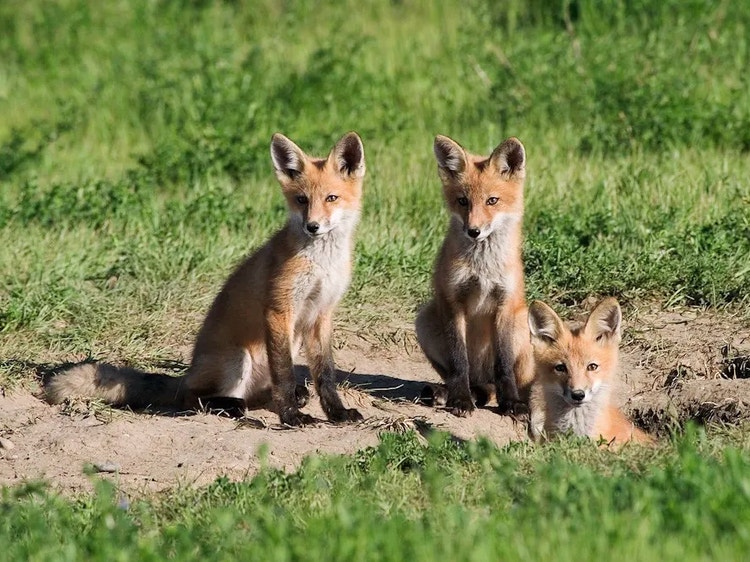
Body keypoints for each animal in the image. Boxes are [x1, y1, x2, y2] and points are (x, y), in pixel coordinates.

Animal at [44, 132, 366, 427]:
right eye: (302, 200)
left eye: (331, 198)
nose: (312, 226)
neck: (322, 265)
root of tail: (186, 376)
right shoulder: (279, 310)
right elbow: (284, 374)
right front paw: (291, 417)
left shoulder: (321, 314)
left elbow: (325, 375)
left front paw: (337, 413)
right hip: (237, 359)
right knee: (196, 398)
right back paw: (233, 407)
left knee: (258, 395)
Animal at [415, 134, 534, 416]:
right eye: (463, 201)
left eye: (492, 201)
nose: (474, 231)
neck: (483, 269)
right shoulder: (452, 301)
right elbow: (459, 362)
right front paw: (460, 399)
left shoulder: (505, 304)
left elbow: (504, 367)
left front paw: (510, 402)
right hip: (424, 320)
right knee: (472, 382)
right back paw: (453, 393)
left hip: (523, 324)